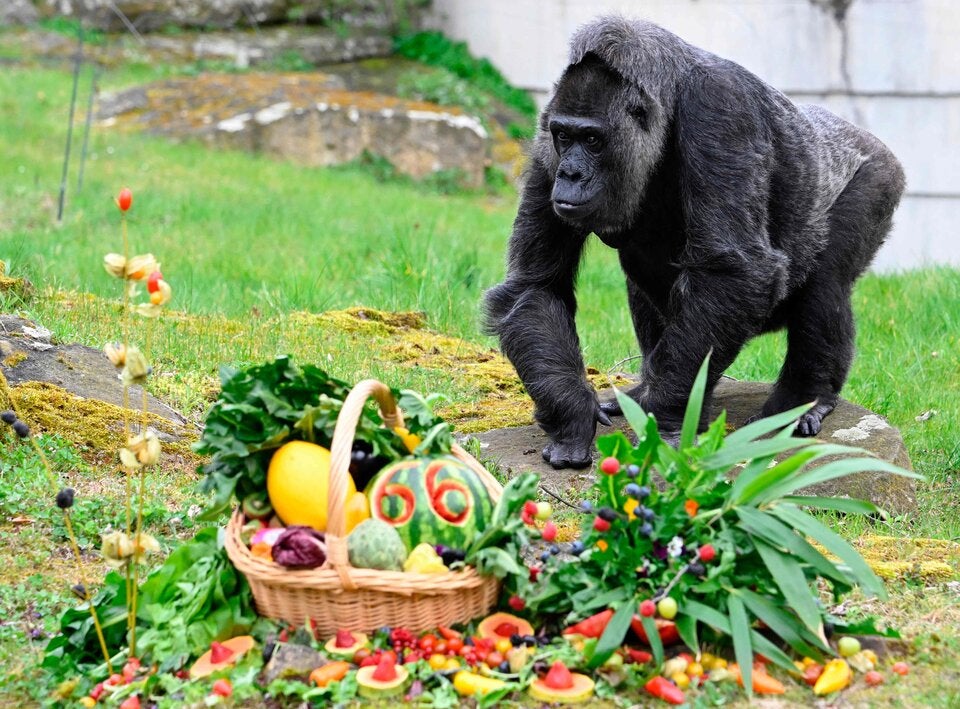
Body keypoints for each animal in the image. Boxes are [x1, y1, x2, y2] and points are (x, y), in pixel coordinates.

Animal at [483, 17, 905, 469]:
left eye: (593, 141)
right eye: (563, 137)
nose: (569, 174)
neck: (669, 97)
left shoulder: (721, 108)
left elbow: (735, 272)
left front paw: (667, 419)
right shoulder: (544, 134)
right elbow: (536, 286)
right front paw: (571, 415)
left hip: (880, 173)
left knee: (826, 283)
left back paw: (804, 399)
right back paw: (644, 389)